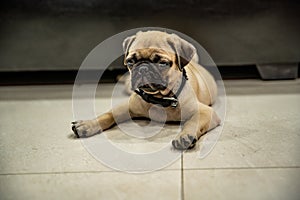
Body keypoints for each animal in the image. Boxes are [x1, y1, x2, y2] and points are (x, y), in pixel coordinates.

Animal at [71, 30, 219, 150]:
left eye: (163, 63)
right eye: (130, 61)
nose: (143, 68)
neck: (159, 99)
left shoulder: (206, 112)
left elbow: (193, 122)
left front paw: (185, 135)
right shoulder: (126, 107)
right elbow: (107, 115)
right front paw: (88, 124)